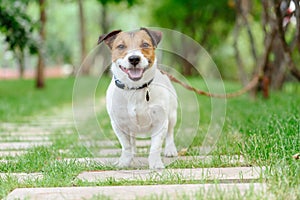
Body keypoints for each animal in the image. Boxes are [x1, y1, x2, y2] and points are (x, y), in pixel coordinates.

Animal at [98, 27, 178, 169]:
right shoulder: (118, 124)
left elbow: (155, 146)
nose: (134, 58)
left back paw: (170, 149)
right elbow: (126, 145)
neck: (134, 89)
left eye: (145, 44)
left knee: (170, 133)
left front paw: (155, 163)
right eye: (121, 46)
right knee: (133, 140)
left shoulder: (160, 122)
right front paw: (124, 162)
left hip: (172, 115)